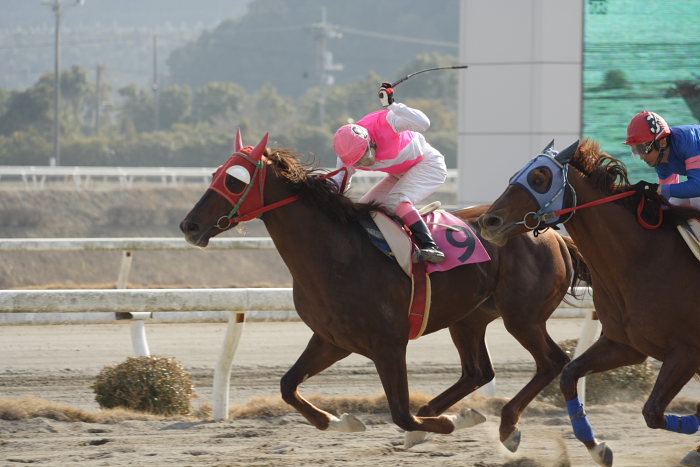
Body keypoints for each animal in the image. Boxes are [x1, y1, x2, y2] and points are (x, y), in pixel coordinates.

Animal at [182, 130, 592, 452]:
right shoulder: (332, 339)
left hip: (522, 317)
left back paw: (504, 425)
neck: (335, 255)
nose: (190, 226)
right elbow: (287, 386)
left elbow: (400, 413)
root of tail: (550, 232)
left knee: (552, 361)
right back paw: (462, 414)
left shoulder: (388, 345)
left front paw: (445, 424)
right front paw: (340, 421)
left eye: (235, 180)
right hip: (470, 317)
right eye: (216, 173)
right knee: (478, 372)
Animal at [478, 139, 700, 467]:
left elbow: (652, 412)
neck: (643, 260)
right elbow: (569, 374)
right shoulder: (626, 345)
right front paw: (597, 447)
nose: (489, 221)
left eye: (539, 179)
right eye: (513, 176)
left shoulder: (686, 352)